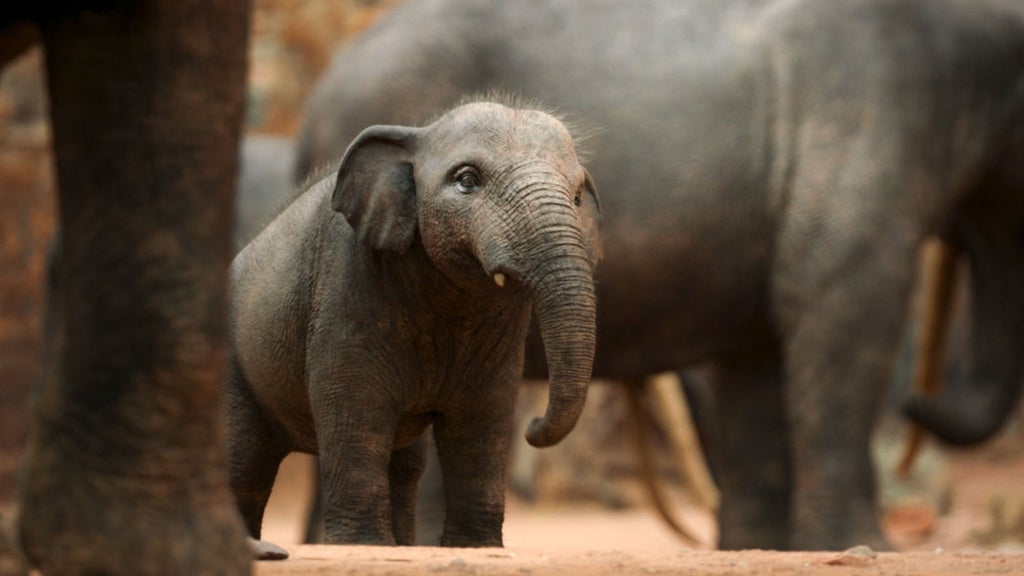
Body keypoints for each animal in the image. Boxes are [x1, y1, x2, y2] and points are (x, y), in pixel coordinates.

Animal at [226, 99, 601, 554]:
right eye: (467, 180)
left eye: (577, 196)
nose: (534, 427)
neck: (419, 133)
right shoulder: (345, 281)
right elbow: (356, 406)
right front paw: (363, 548)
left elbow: (482, 416)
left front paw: (477, 550)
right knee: (243, 461)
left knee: (405, 464)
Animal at [293, 0, 1024, 551]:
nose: (921, 401)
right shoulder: (864, 114)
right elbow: (843, 309)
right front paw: (862, 548)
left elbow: (754, 364)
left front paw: (760, 551)